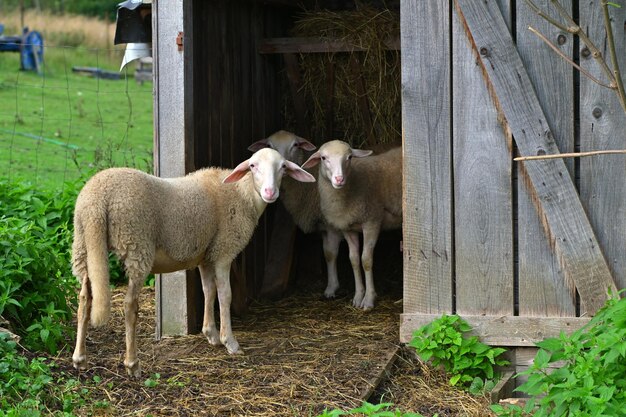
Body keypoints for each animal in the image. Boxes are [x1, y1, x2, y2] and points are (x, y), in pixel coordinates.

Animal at [70, 148, 314, 376]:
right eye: (253, 165)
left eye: (283, 167)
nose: (270, 192)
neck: (242, 194)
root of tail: (98, 199)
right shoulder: (224, 251)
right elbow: (225, 295)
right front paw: (230, 342)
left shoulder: (207, 255)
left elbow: (208, 291)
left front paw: (211, 334)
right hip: (136, 243)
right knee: (130, 305)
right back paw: (132, 363)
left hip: (83, 243)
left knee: (84, 298)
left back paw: (79, 358)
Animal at [302, 140, 400, 308]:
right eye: (323, 158)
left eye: (349, 157)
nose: (339, 179)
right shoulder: (347, 227)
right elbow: (353, 260)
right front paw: (358, 297)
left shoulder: (372, 221)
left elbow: (366, 260)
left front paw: (368, 300)